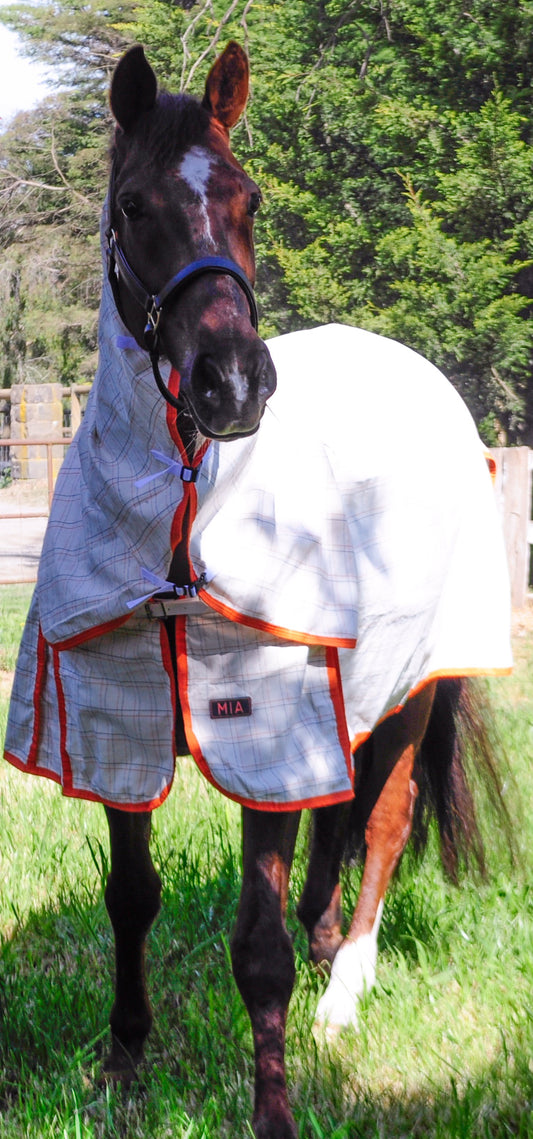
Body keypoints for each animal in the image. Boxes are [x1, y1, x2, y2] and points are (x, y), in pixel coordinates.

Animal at [3, 42, 513, 1139]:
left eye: (249, 197)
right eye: (136, 205)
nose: (233, 383)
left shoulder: (264, 724)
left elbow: (257, 943)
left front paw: (272, 1105)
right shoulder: (119, 719)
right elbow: (132, 895)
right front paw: (122, 1060)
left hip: (410, 691)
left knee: (383, 821)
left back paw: (342, 992)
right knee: (340, 816)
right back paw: (328, 947)